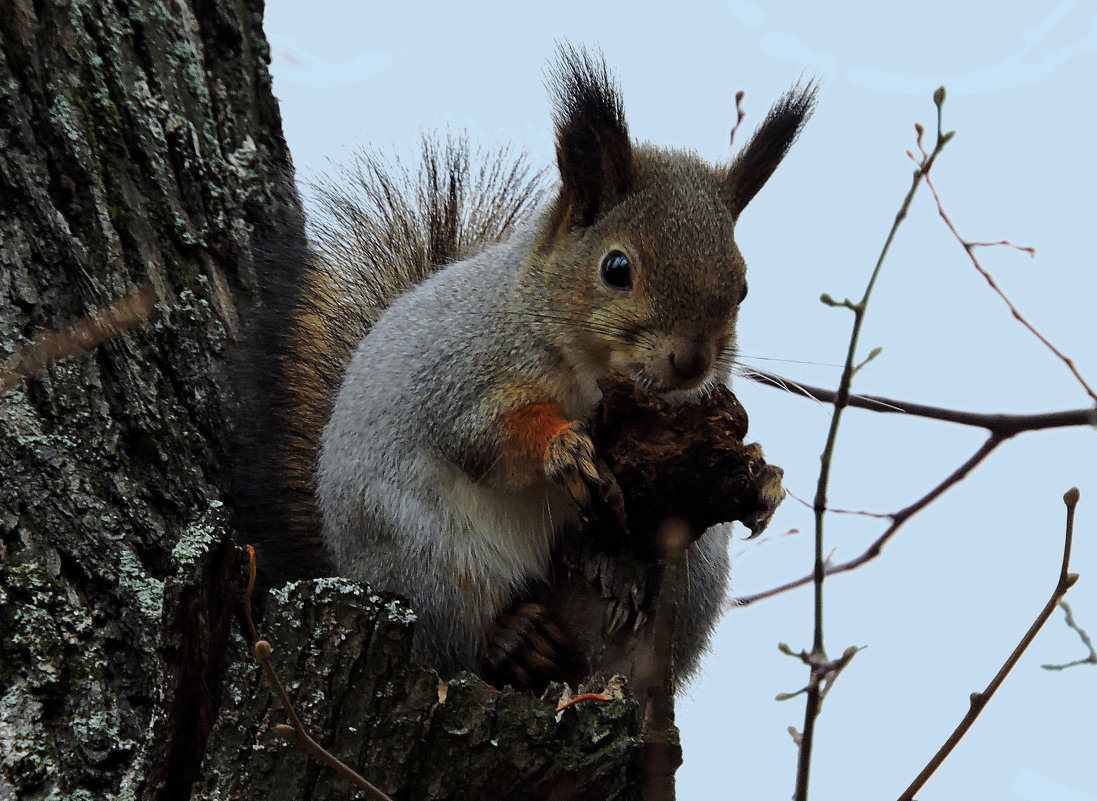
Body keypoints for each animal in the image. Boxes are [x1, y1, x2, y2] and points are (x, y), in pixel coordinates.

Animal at [242, 42, 824, 680]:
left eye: (742, 287)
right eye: (616, 268)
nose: (691, 363)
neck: (595, 377)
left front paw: (765, 477)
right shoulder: (465, 372)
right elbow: (487, 433)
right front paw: (562, 447)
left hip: (691, 578)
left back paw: (616, 581)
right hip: (431, 558)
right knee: (455, 644)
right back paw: (514, 638)